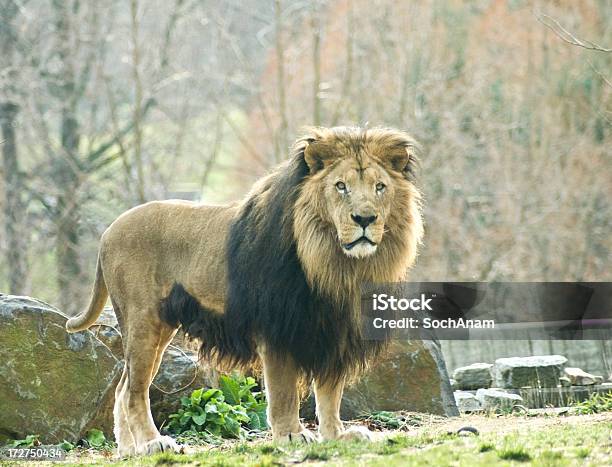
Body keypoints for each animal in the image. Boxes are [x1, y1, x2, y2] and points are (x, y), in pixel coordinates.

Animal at [65, 127, 420, 458]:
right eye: (341, 186)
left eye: (380, 187)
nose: (365, 218)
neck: (337, 266)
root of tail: (108, 231)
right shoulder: (279, 329)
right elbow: (284, 392)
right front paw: (291, 435)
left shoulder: (334, 330)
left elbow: (330, 393)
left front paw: (337, 435)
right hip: (144, 321)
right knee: (135, 391)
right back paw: (154, 443)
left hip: (159, 329)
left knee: (123, 388)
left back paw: (129, 449)